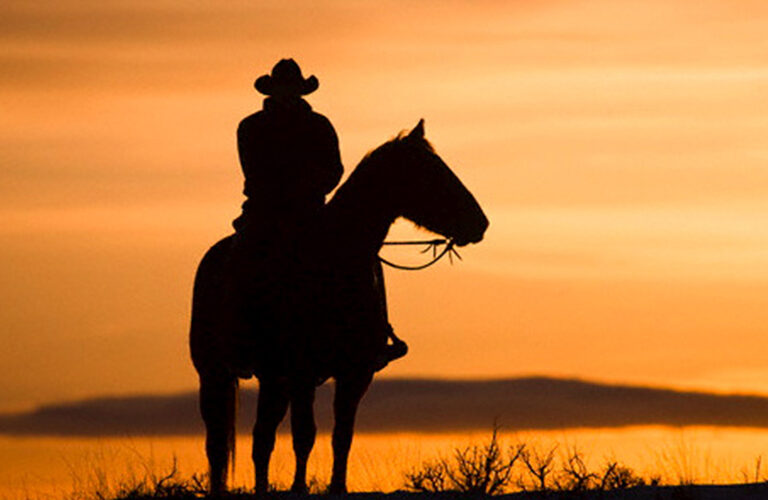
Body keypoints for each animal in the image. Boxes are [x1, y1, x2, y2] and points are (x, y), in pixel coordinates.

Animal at [191, 119, 488, 494]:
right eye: (432, 172)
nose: (480, 223)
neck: (333, 260)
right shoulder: (302, 371)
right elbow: (305, 435)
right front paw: (299, 489)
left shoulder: (355, 372)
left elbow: (342, 436)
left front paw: (337, 487)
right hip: (214, 372)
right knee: (220, 444)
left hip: (274, 379)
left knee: (262, 437)